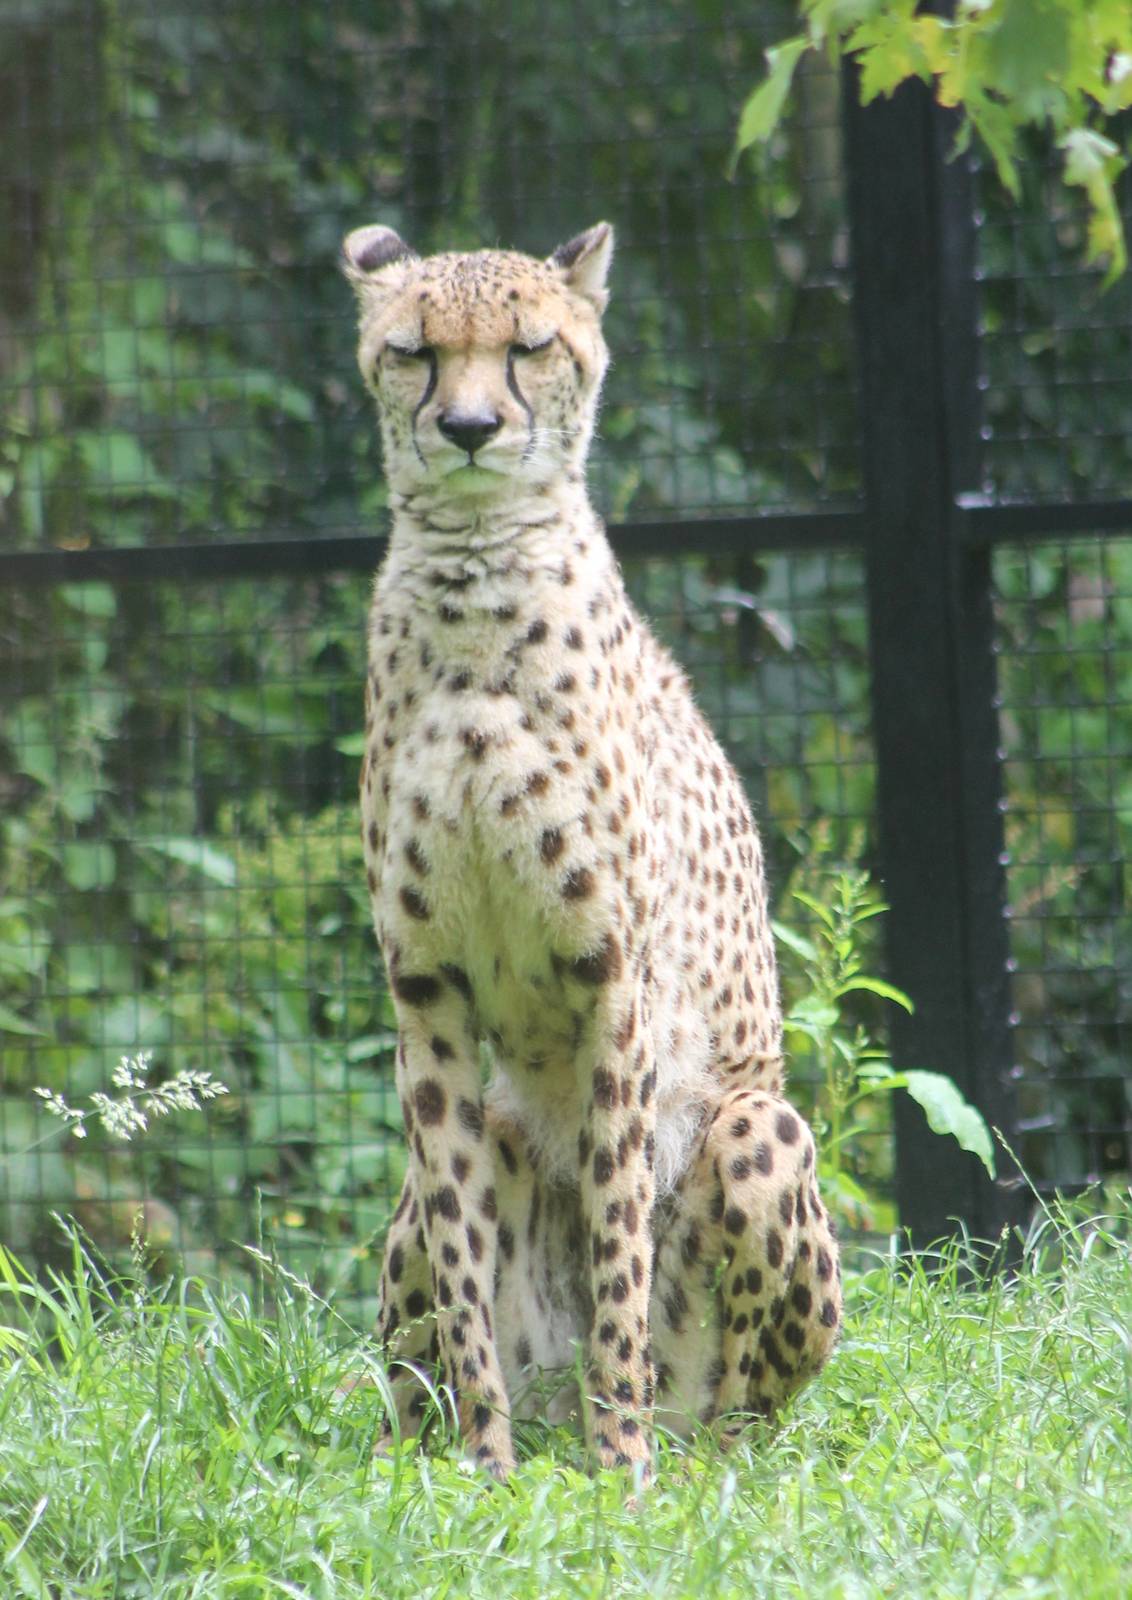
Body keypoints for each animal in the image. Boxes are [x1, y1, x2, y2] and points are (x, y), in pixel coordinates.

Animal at [342, 219, 842, 1482]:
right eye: (414, 352)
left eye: (528, 347)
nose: (470, 427)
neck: (475, 582)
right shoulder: (424, 989)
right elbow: (462, 1260)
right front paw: (482, 1474)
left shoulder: (612, 978)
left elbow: (619, 1236)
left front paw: (622, 1482)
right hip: (444, 1183)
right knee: (419, 1322)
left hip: (761, 1128)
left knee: (738, 1407)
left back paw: (674, 1449)